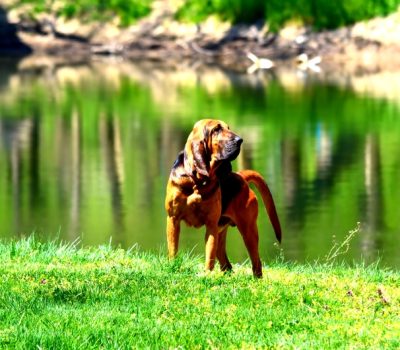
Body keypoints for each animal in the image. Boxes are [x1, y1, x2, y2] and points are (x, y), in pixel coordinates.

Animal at [163, 119, 282, 278]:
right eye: (216, 129)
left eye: (228, 128)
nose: (240, 140)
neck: (197, 180)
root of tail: (241, 176)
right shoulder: (173, 219)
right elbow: (173, 248)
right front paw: (173, 267)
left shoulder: (211, 224)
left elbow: (209, 255)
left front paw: (207, 275)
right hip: (224, 231)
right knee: (227, 264)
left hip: (248, 231)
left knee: (256, 262)